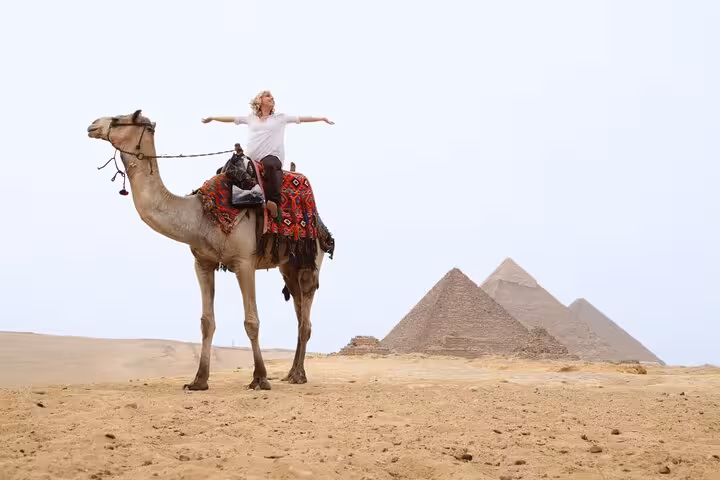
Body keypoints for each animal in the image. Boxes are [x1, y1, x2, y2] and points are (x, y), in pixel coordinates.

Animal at [86, 109, 335, 391]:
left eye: (119, 119)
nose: (93, 125)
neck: (200, 216)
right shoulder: (202, 262)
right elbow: (207, 322)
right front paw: (198, 380)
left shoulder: (244, 262)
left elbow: (251, 321)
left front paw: (259, 378)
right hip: (288, 266)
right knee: (299, 311)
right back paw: (292, 372)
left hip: (310, 260)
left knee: (306, 317)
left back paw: (299, 375)